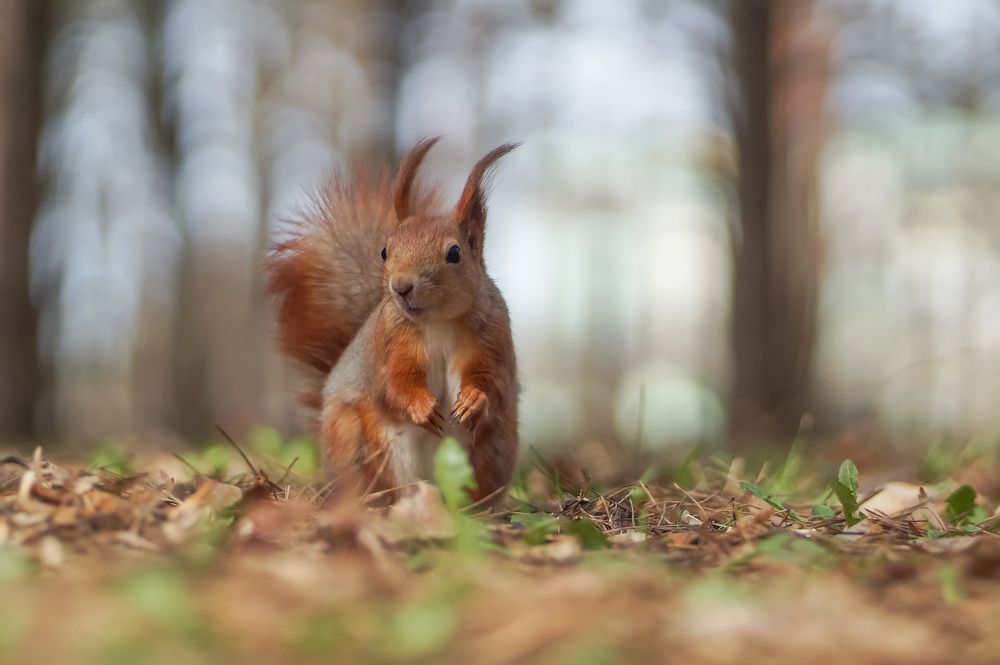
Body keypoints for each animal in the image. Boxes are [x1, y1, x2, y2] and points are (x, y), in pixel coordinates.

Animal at [265, 137, 519, 505]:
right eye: (385, 251)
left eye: (454, 253)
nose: (400, 286)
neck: (439, 323)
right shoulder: (391, 343)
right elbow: (391, 386)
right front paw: (421, 408)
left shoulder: (492, 335)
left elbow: (493, 382)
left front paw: (473, 401)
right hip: (356, 439)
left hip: (494, 448)